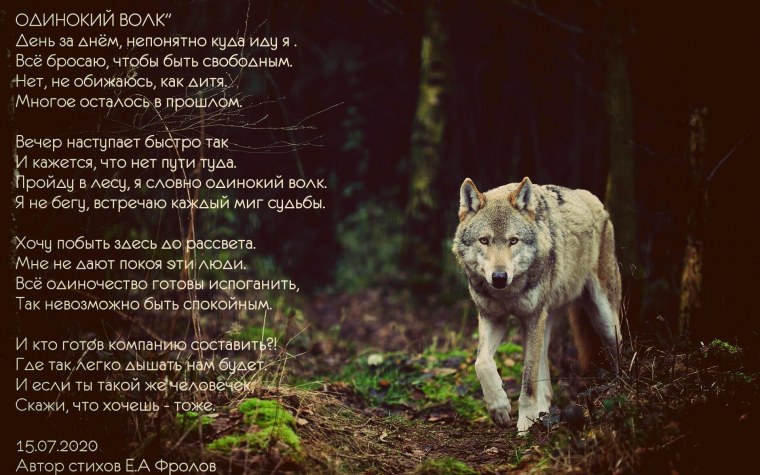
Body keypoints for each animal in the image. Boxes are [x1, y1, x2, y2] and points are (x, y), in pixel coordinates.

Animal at [452, 177, 622, 433]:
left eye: (513, 241)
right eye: (484, 240)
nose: (499, 277)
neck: (508, 294)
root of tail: (594, 200)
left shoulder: (532, 318)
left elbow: (528, 379)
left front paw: (525, 420)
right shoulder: (493, 317)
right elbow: (481, 363)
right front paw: (499, 408)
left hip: (603, 320)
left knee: (620, 351)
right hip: (543, 321)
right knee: (544, 375)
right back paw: (543, 410)